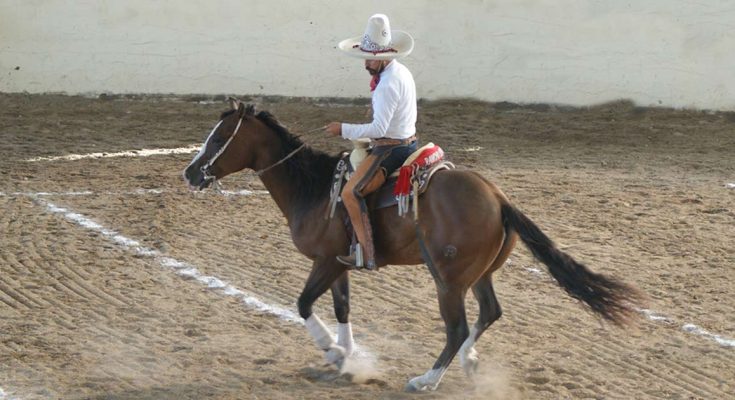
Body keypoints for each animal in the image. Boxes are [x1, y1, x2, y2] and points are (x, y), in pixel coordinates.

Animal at [183, 100, 644, 390]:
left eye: (220, 137)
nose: (190, 172)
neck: (312, 188)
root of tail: (498, 198)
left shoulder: (325, 263)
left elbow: (304, 304)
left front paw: (332, 351)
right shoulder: (338, 263)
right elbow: (341, 308)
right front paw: (348, 359)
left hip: (448, 280)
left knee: (457, 328)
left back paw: (426, 379)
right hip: (479, 274)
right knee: (490, 313)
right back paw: (469, 362)